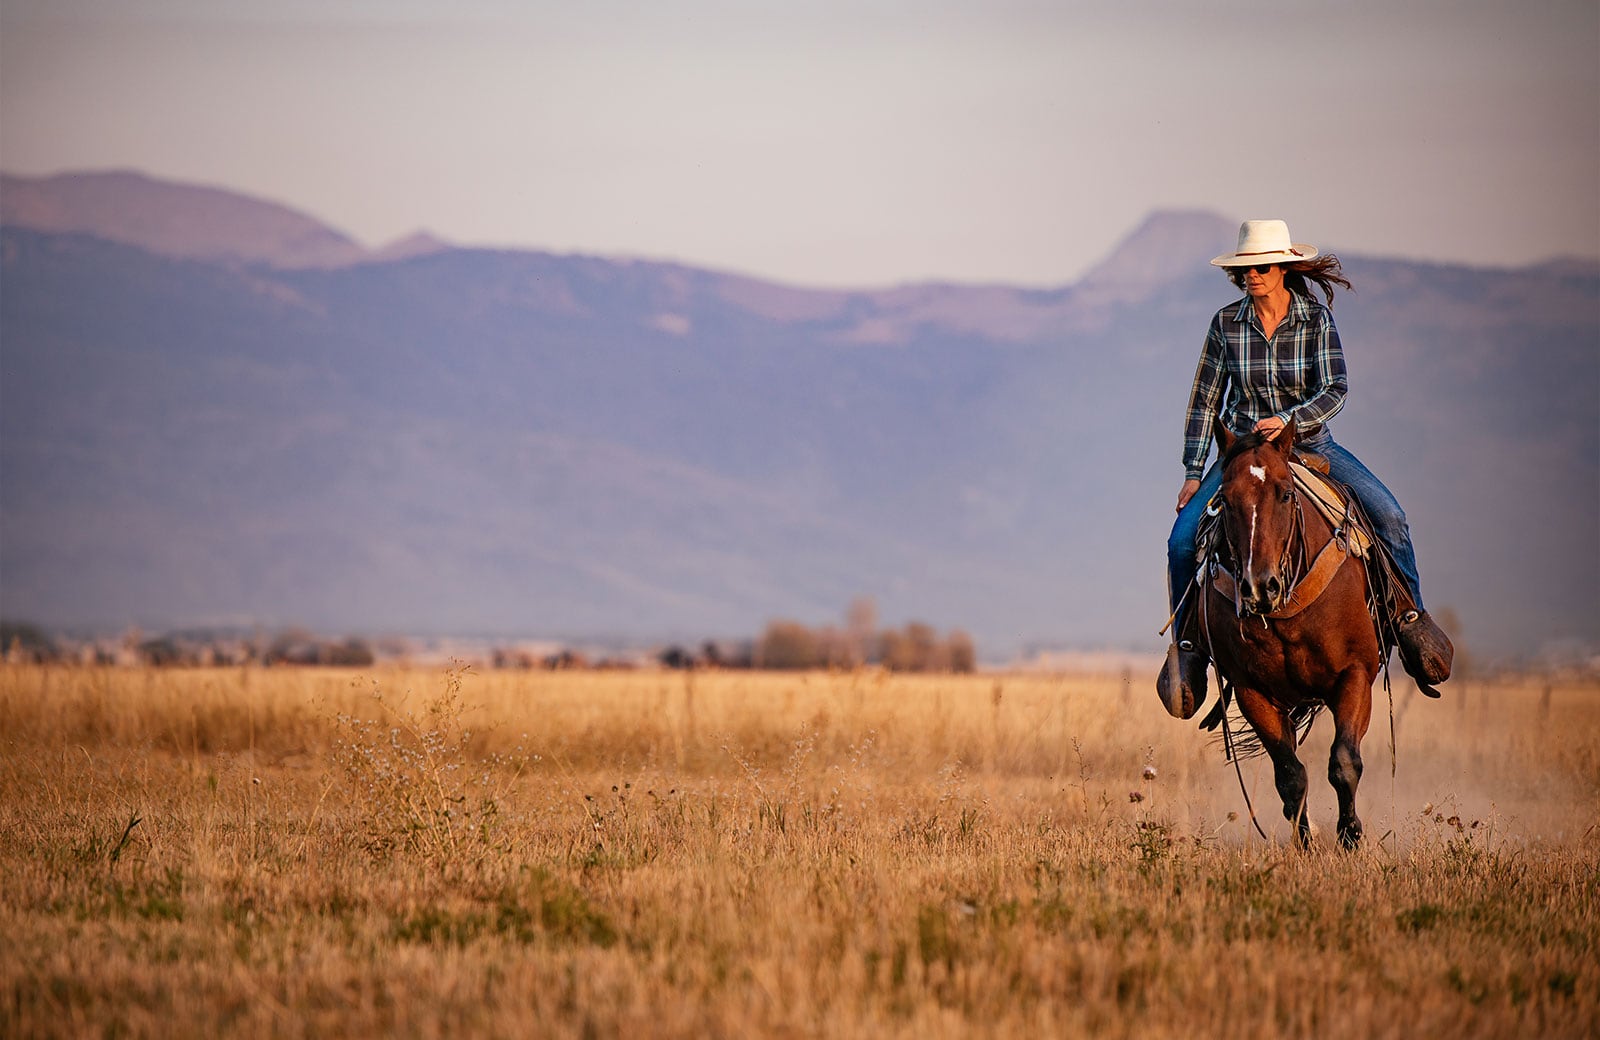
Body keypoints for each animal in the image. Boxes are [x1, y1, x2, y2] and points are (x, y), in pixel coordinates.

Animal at [1196, 416, 1382, 844]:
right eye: (1224, 500)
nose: (1258, 587)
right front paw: (1305, 842)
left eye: (1284, 494)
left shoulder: (1356, 673)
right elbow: (1290, 775)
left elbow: (1344, 761)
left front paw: (1350, 835)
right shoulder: (1252, 692)